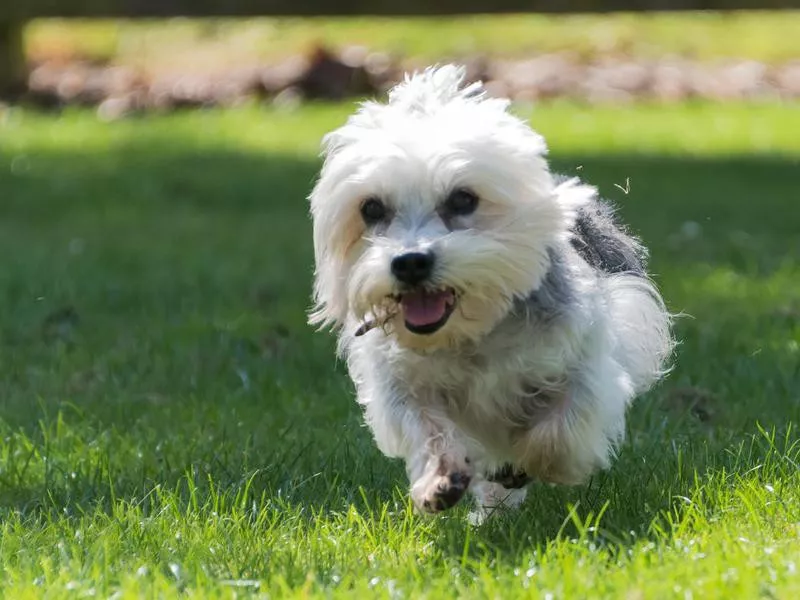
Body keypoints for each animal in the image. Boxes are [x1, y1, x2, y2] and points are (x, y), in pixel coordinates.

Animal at [310, 65, 672, 524]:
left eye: (463, 199)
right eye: (371, 208)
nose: (409, 262)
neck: (472, 333)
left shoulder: (585, 360)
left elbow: (559, 429)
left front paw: (531, 462)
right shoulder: (399, 384)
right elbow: (426, 427)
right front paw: (439, 479)